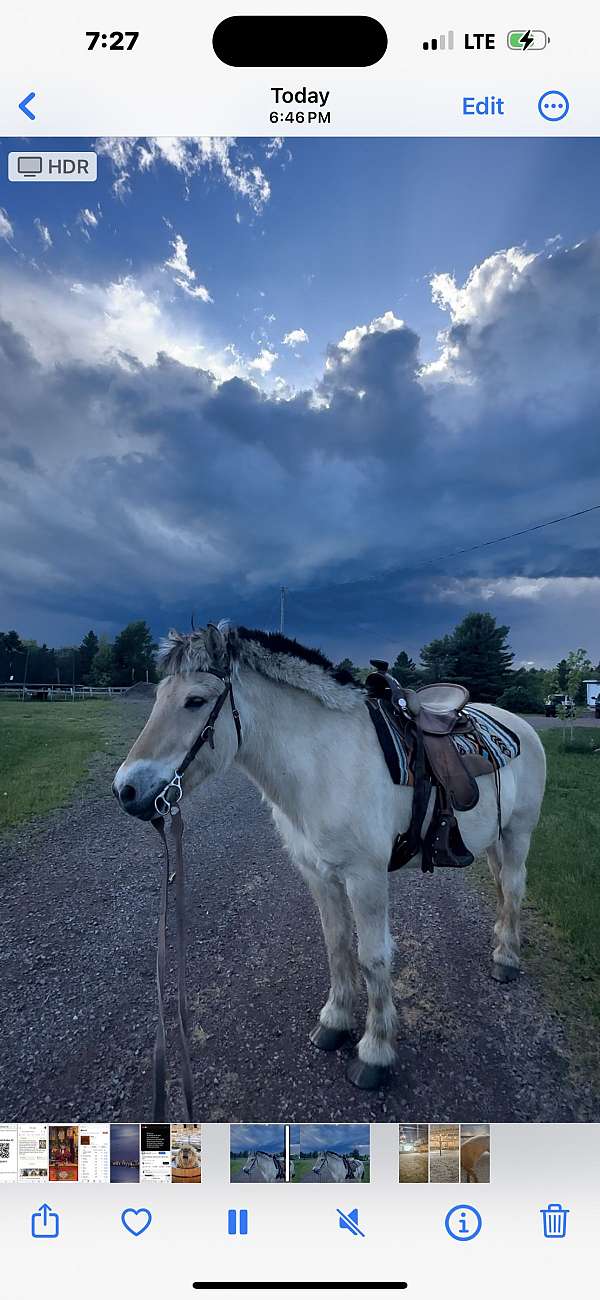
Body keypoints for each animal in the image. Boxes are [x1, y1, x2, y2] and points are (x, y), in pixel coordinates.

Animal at [113, 624, 548, 1092]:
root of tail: (519, 725)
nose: (126, 790)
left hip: (519, 833)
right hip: (493, 838)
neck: (324, 764)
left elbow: (373, 958)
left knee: (515, 886)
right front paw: (336, 1022)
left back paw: (506, 958)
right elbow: (337, 944)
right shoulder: (319, 875)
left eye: (195, 701)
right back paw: (501, 938)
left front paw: (375, 1051)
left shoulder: (366, 878)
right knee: (503, 886)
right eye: (158, 697)